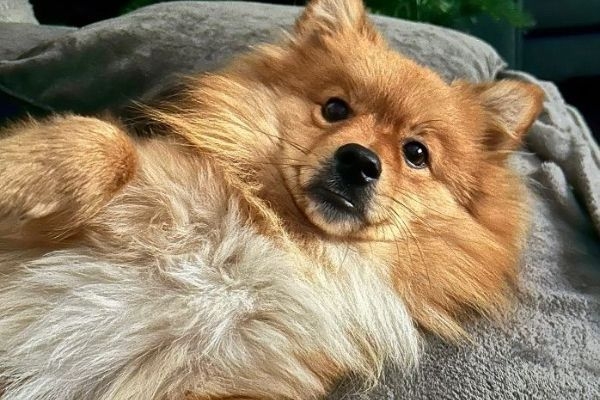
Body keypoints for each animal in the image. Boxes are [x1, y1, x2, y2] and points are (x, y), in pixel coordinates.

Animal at [0, 0, 544, 400]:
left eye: (416, 154)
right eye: (335, 108)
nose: (359, 161)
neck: (279, 237)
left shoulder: (237, 377)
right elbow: (104, 142)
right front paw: (21, 171)